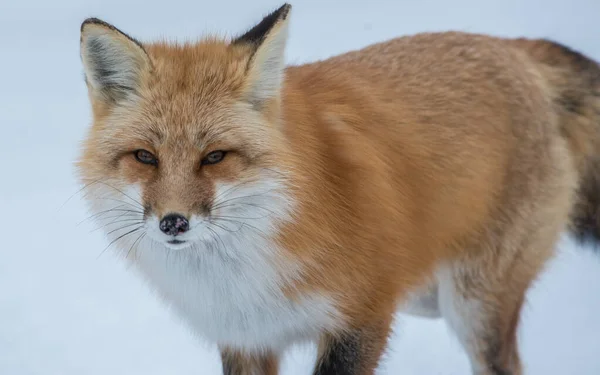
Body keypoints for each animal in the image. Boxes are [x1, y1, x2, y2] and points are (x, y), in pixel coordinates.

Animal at [77, 2, 600, 375]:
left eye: (215, 157)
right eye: (145, 157)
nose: (173, 223)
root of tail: (511, 47)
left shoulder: (363, 320)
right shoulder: (247, 338)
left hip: (472, 304)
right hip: (429, 297)